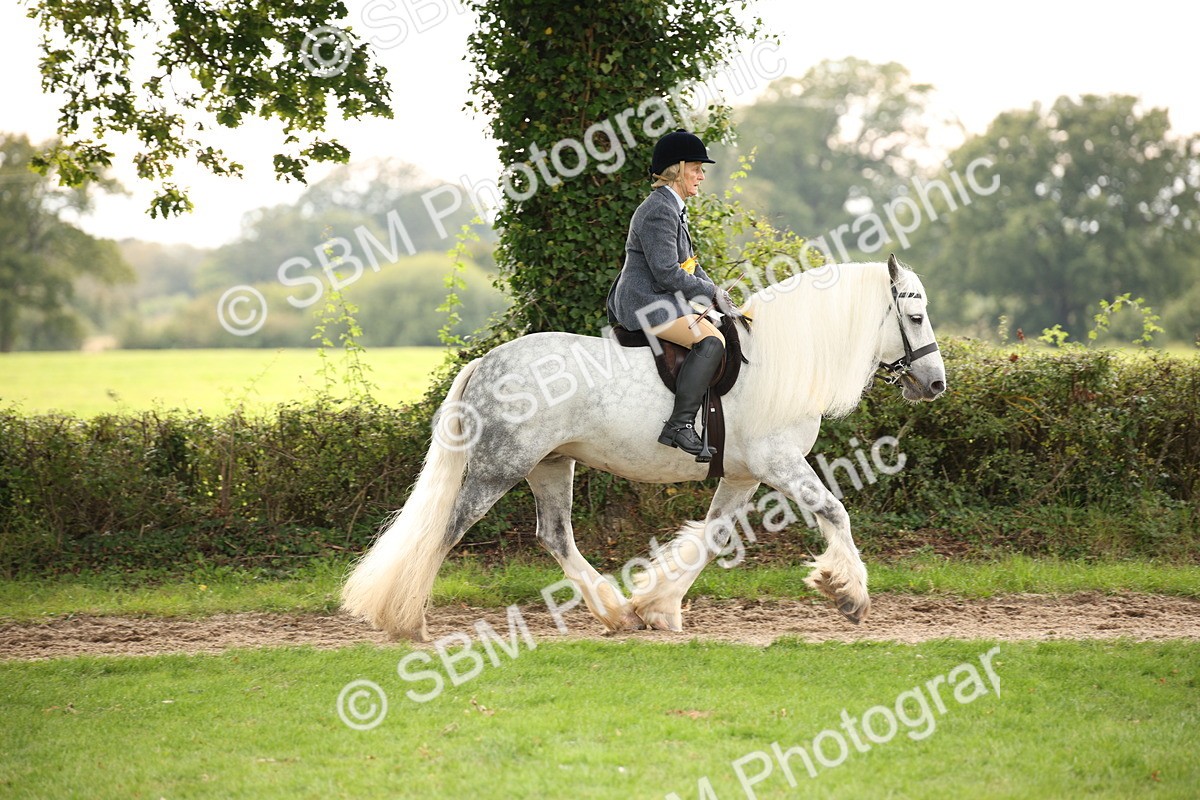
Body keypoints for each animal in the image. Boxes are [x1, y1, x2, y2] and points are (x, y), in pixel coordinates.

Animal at [342, 255, 946, 641]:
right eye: (915, 316)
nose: (936, 384)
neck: (778, 361)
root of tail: (487, 361)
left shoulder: (743, 475)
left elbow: (712, 537)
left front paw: (658, 608)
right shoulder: (779, 463)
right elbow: (834, 510)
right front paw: (847, 594)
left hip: (550, 466)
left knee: (555, 537)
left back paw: (617, 614)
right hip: (499, 468)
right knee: (448, 530)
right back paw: (409, 620)